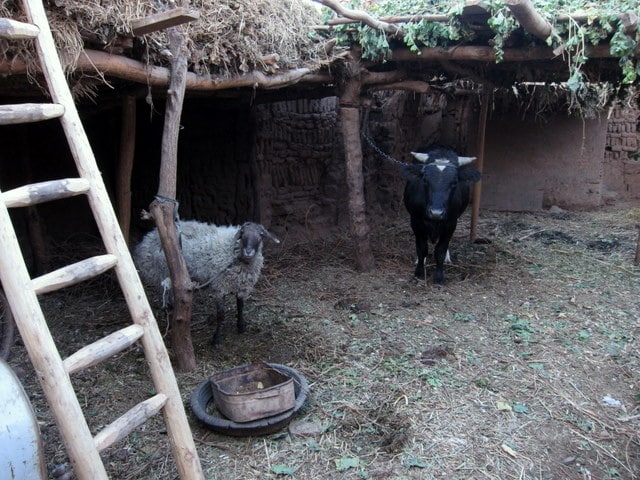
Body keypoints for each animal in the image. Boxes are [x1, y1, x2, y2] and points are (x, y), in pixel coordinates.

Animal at [131, 219, 278, 344]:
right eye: (242, 234)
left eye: (260, 235)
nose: (248, 251)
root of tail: (147, 239)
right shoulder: (220, 286)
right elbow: (221, 315)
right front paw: (216, 339)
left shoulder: (242, 286)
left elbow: (240, 306)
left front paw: (241, 326)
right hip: (163, 273)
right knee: (165, 297)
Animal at [404, 144, 480, 284]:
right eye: (425, 180)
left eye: (454, 182)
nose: (436, 213)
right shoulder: (416, 221)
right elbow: (421, 248)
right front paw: (419, 272)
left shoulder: (451, 223)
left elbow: (440, 250)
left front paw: (439, 277)